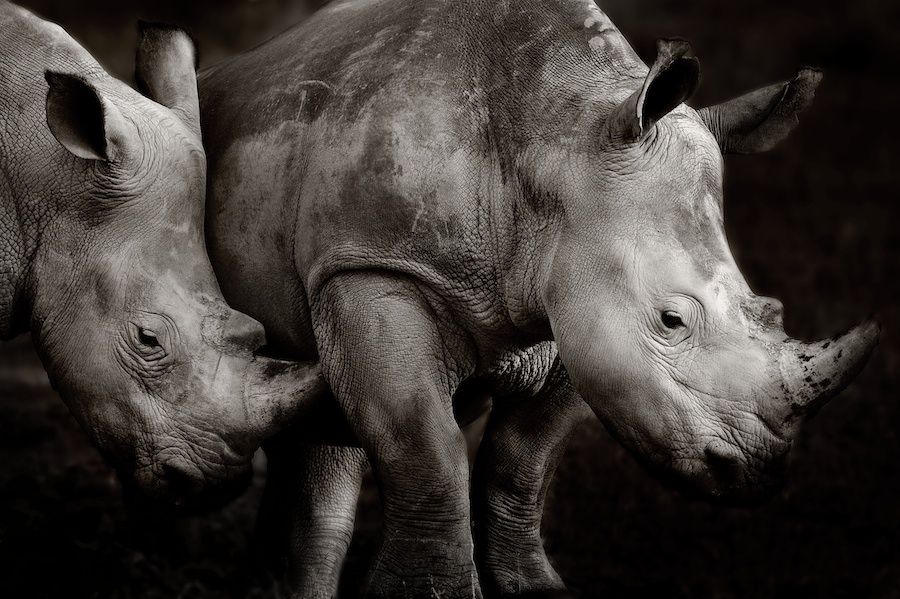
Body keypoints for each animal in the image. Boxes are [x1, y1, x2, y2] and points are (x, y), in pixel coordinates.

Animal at [178, 1, 880, 596]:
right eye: (671, 320)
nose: (755, 472)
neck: (555, 139)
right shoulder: (372, 267)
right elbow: (426, 449)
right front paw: (426, 592)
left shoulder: (570, 308)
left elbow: (523, 462)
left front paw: (532, 586)